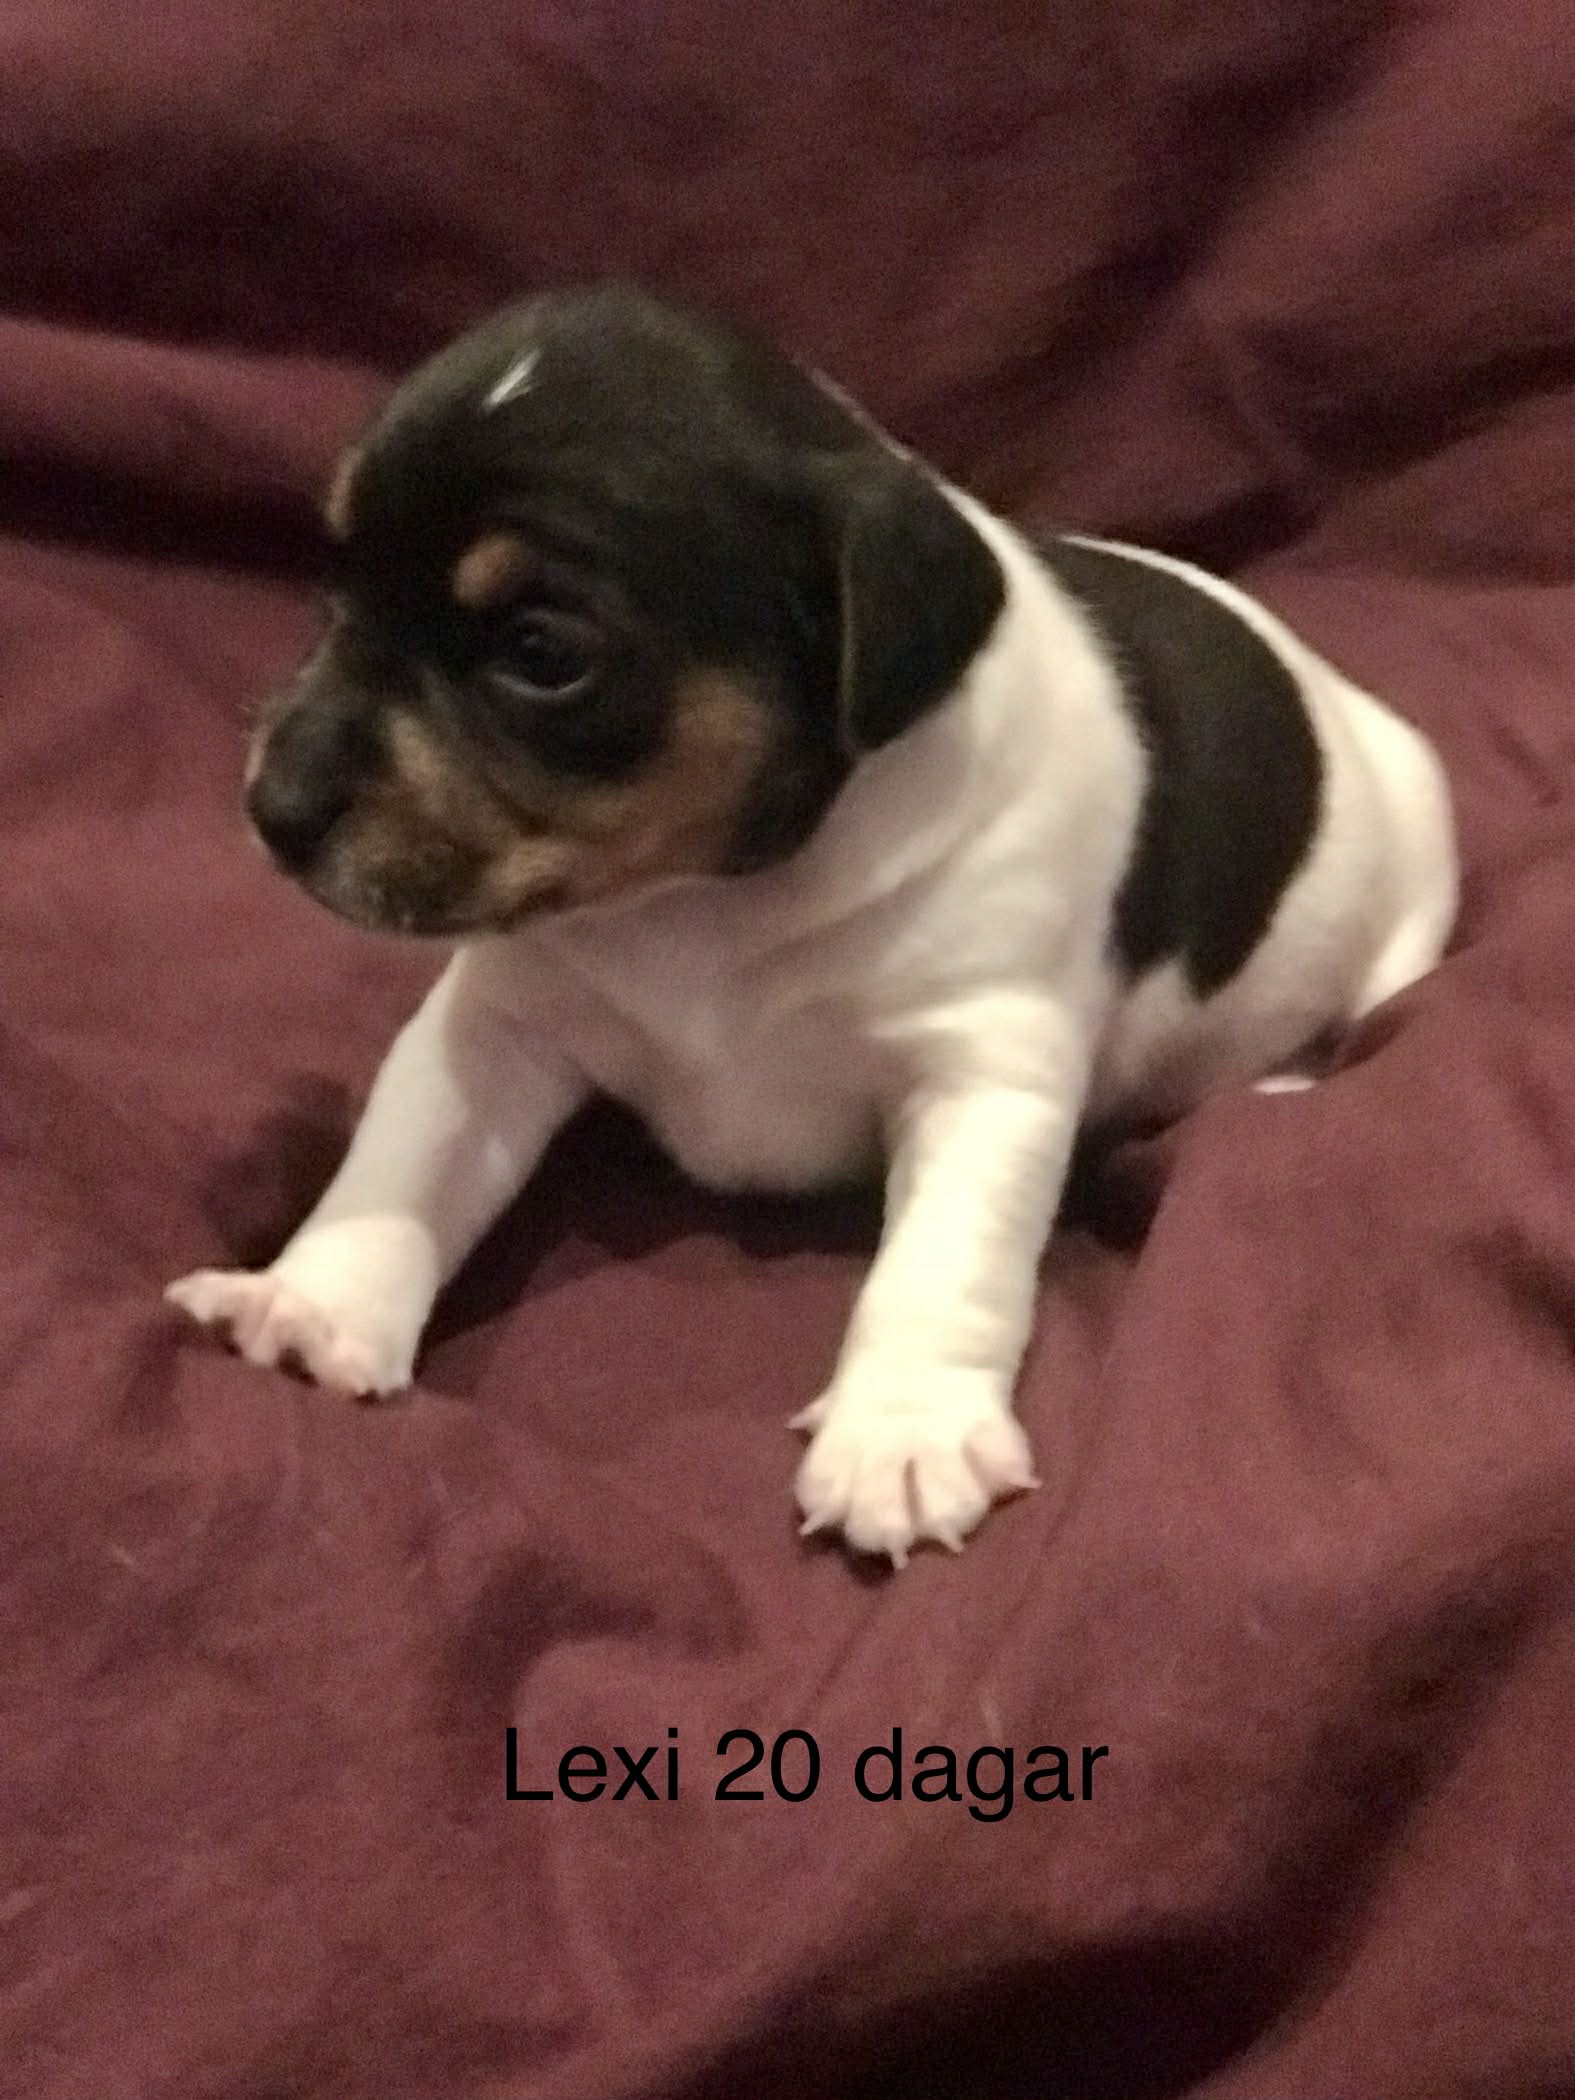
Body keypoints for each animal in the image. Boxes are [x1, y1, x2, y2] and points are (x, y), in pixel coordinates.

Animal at [167, 284, 1457, 1565]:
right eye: (335, 586)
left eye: (542, 652)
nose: (272, 809)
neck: (704, 900)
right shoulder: (499, 1022)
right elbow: (408, 1156)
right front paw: (314, 1302)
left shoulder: (985, 1067)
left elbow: (942, 1262)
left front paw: (904, 1432)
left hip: (1415, 879)